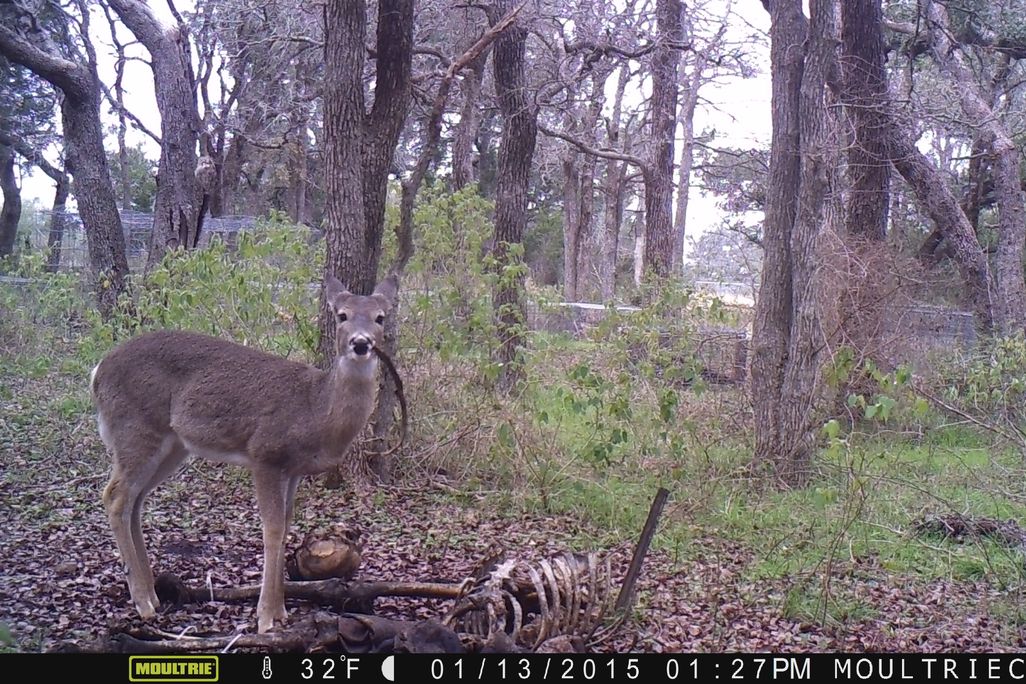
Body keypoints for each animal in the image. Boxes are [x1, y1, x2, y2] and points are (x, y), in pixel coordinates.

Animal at [91, 274, 397, 633]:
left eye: (380, 317)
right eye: (342, 315)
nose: (361, 343)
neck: (315, 410)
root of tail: (97, 372)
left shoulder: (293, 469)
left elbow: (287, 523)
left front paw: (281, 612)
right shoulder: (264, 453)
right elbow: (273, 528)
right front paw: (265, 618)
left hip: (172, 445)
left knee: (135, 501)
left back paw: (153, 595)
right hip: (136, 429)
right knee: (115, 496)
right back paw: (142, 603)